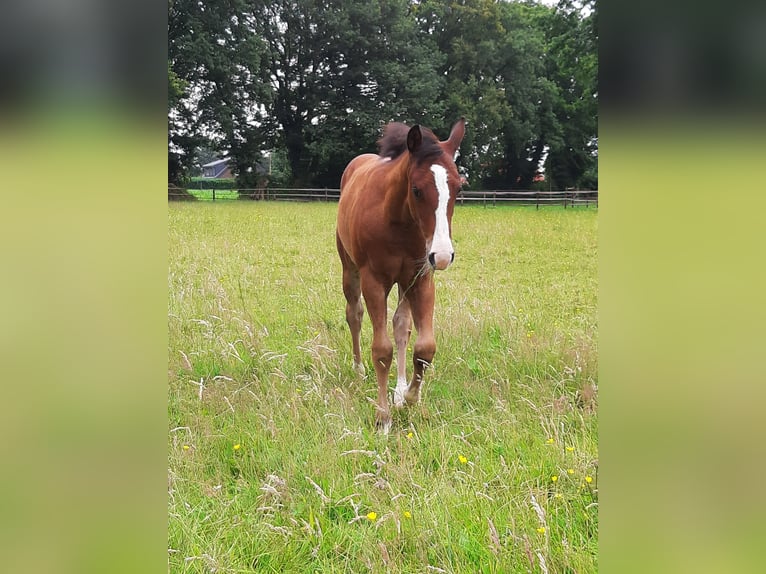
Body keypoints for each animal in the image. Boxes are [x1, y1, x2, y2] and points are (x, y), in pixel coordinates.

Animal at [335, 118, 466, 432]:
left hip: (405, 282)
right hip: (350, 268)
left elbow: (424, 347)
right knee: (354, 314)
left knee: (401, 326)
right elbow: (382, 351)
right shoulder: (374, 281)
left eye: (458, 188)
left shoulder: (421, 278)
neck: (398, 221)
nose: (443, 255)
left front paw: (408, 398)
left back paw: (400, 387)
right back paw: (359, 370)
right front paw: (383, 418)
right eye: (416, 189)